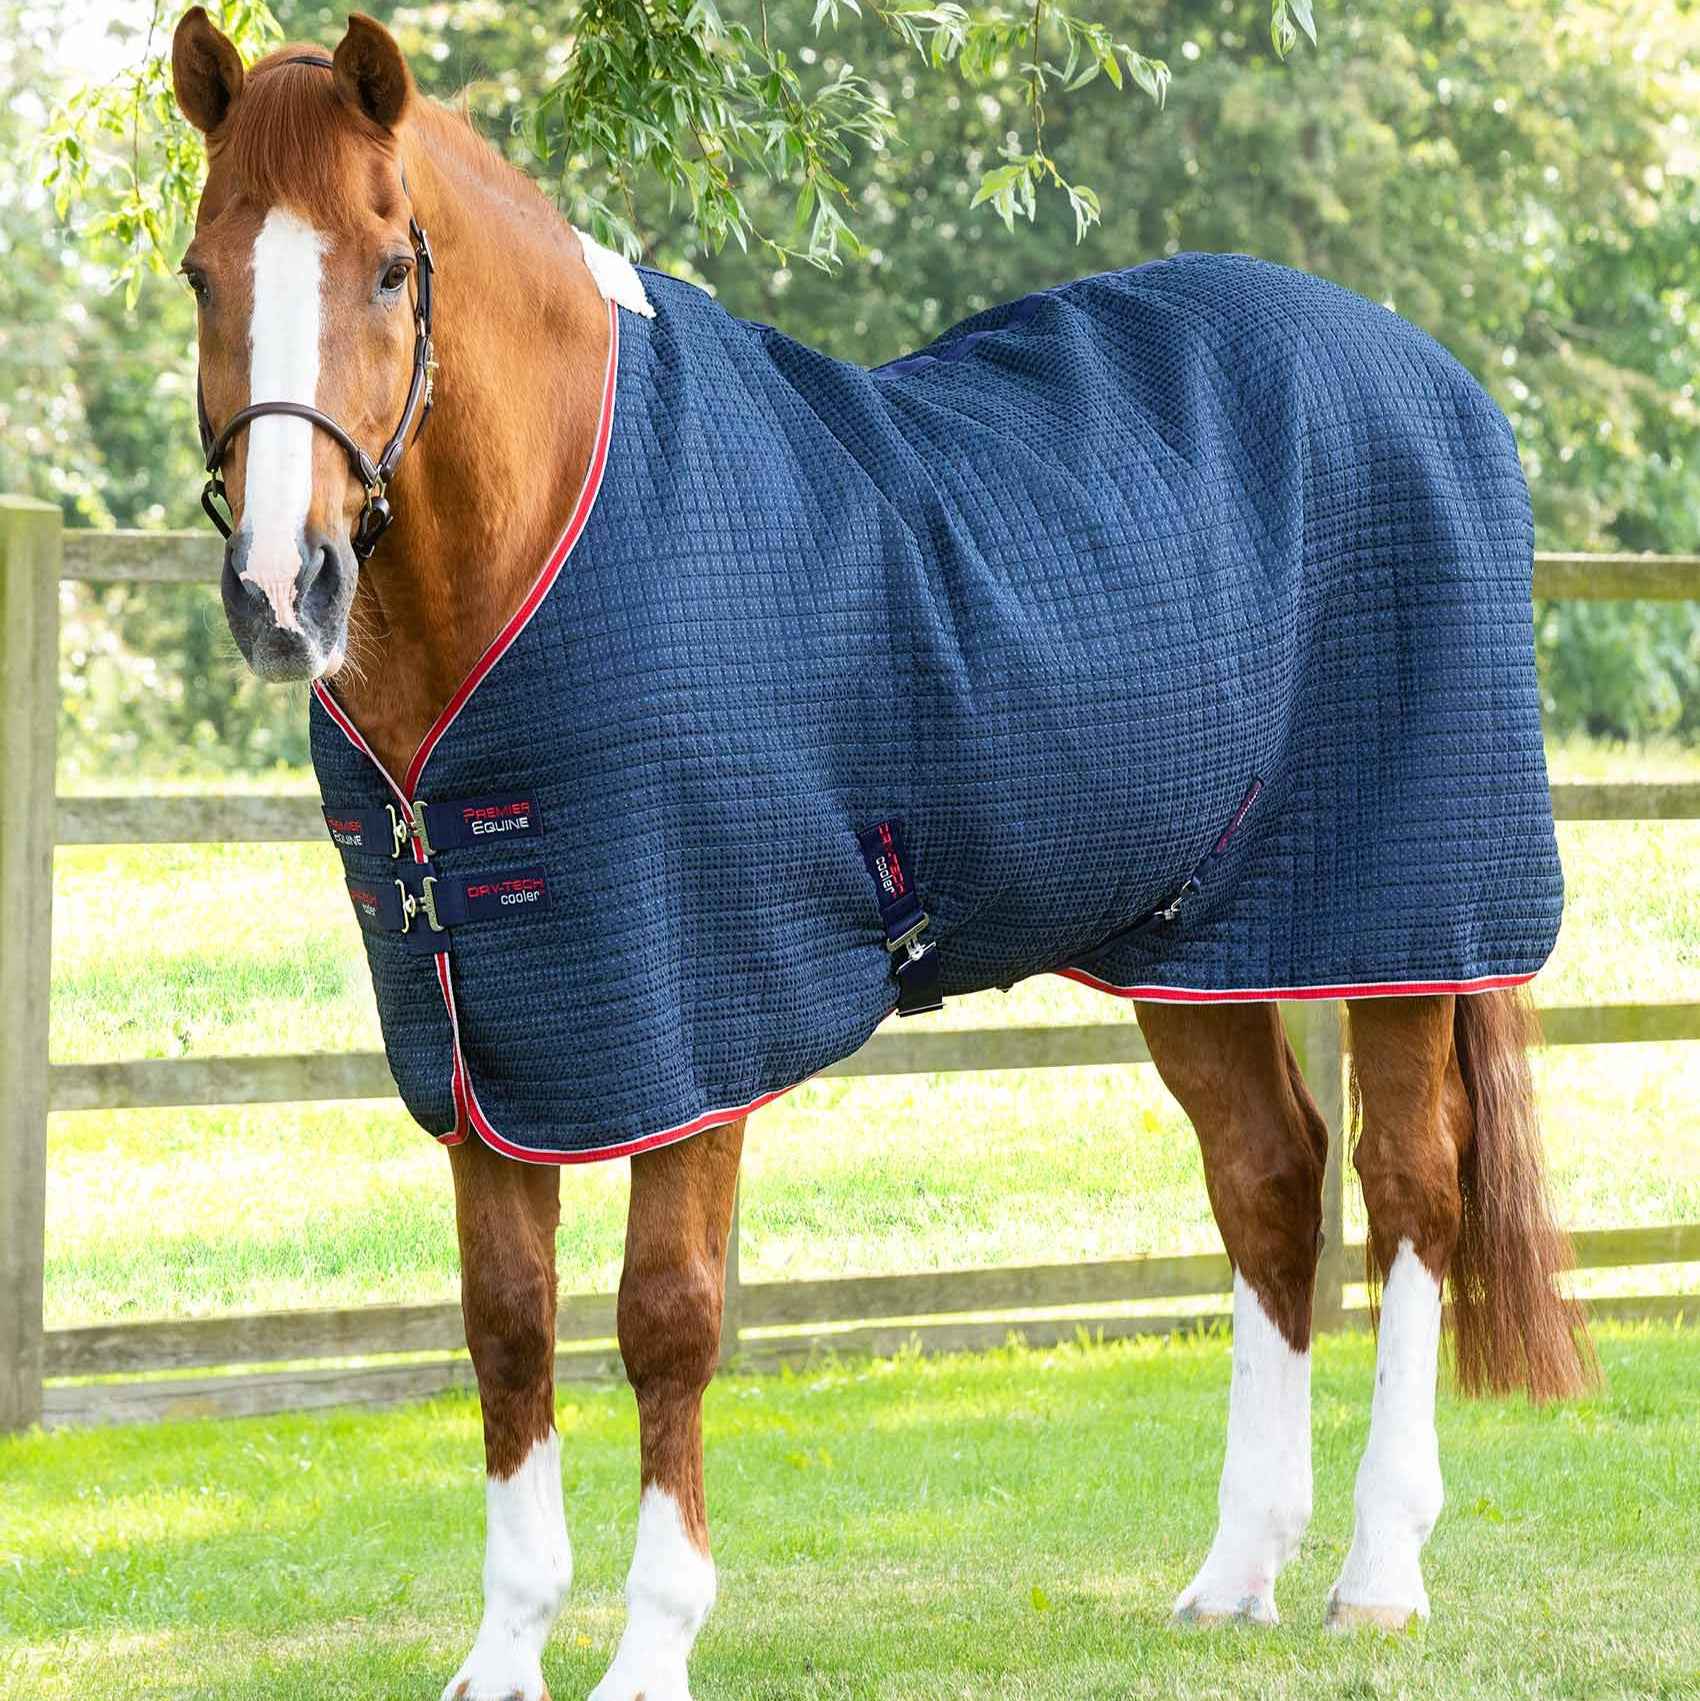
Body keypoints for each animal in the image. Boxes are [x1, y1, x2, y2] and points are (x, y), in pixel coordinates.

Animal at [169, 10, 1593, 1698]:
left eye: (393, 269)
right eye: (201, 272)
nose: (283, 590)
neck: (548, 545)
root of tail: (1437, 379)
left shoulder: (693, 1022)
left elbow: (667, 1318)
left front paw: (653, 1647)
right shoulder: (489, 1038)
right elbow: (507, 1322)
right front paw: (504, 1652)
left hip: (1401, 917)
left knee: (1410, 1187)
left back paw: (1376, 1575)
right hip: (1198, 941)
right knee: (1269, 1182)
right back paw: (1237, 1572)